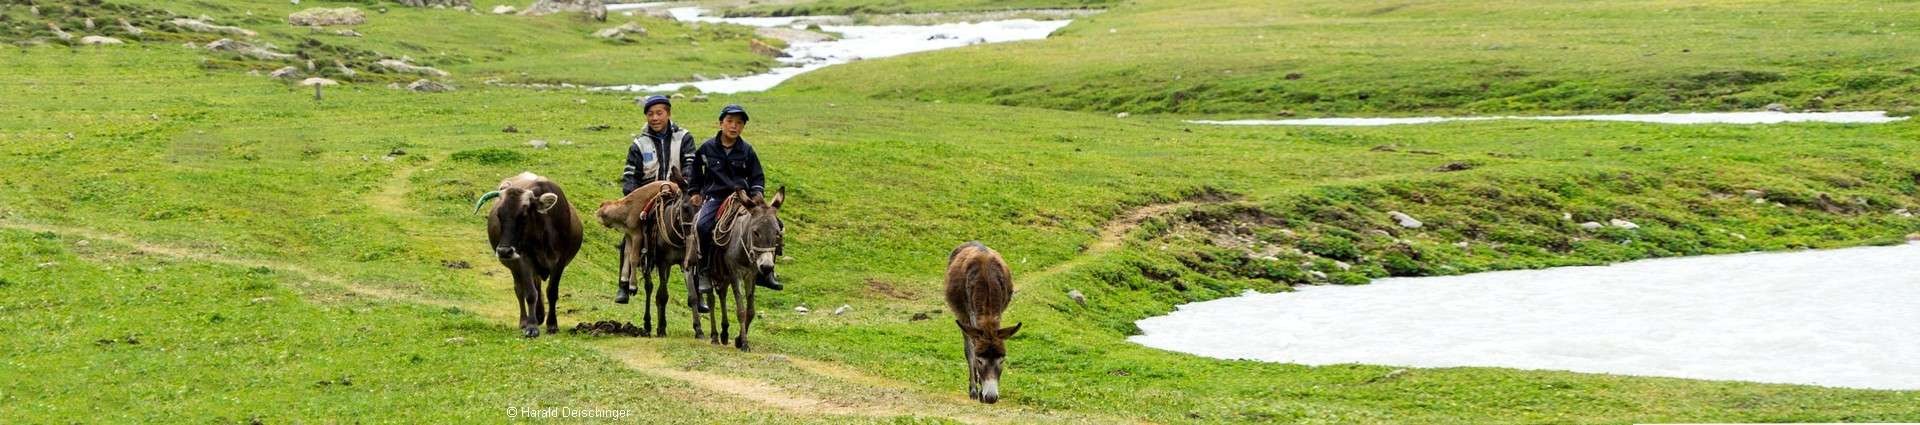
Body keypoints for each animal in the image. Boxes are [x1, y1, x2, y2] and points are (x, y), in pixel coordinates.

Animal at [470, 173, 576, 338]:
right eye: (499, 215)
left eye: (524, 216)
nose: (504, 251)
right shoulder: (523, 259)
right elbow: (530, 294)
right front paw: (531, 327)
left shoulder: (560, 262)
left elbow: (552, 292)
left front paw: (552, 325)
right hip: (515, 266)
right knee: (520, 290)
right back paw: (525, 320)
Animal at [940, 240, 1021, 403]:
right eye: (979, 361)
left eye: (1002, 360)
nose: (990, 397)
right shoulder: (971, 315)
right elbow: (971, 351)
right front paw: (975, 391)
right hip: (962, 316)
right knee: (968, 347)